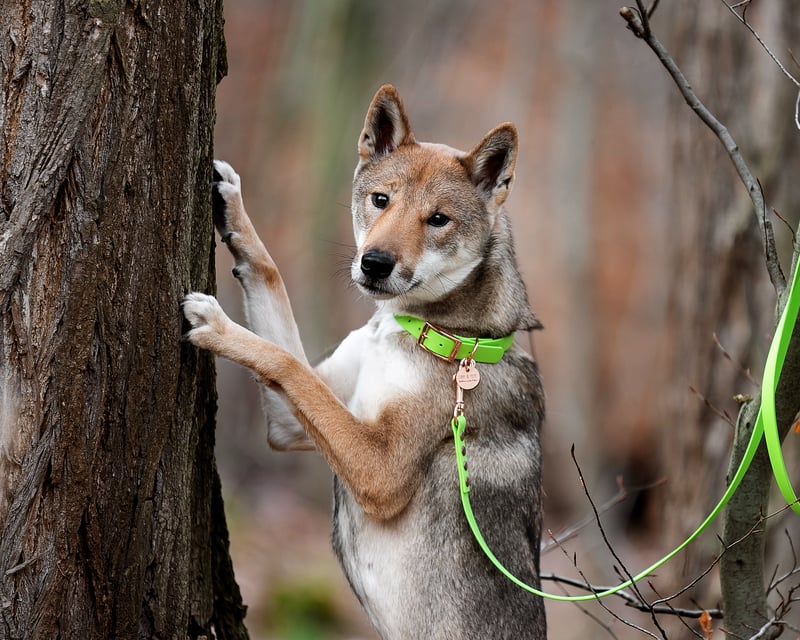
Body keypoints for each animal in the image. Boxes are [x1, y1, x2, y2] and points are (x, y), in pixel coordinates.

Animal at [184, 86, 548, 640]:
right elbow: (271, 283)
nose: (374, 264)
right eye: (381, 200)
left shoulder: (380, 470)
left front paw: (221, 326)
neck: (440, 335)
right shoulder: (292, 422)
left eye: (437, 220)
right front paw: (233, 210)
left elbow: (284, 361)